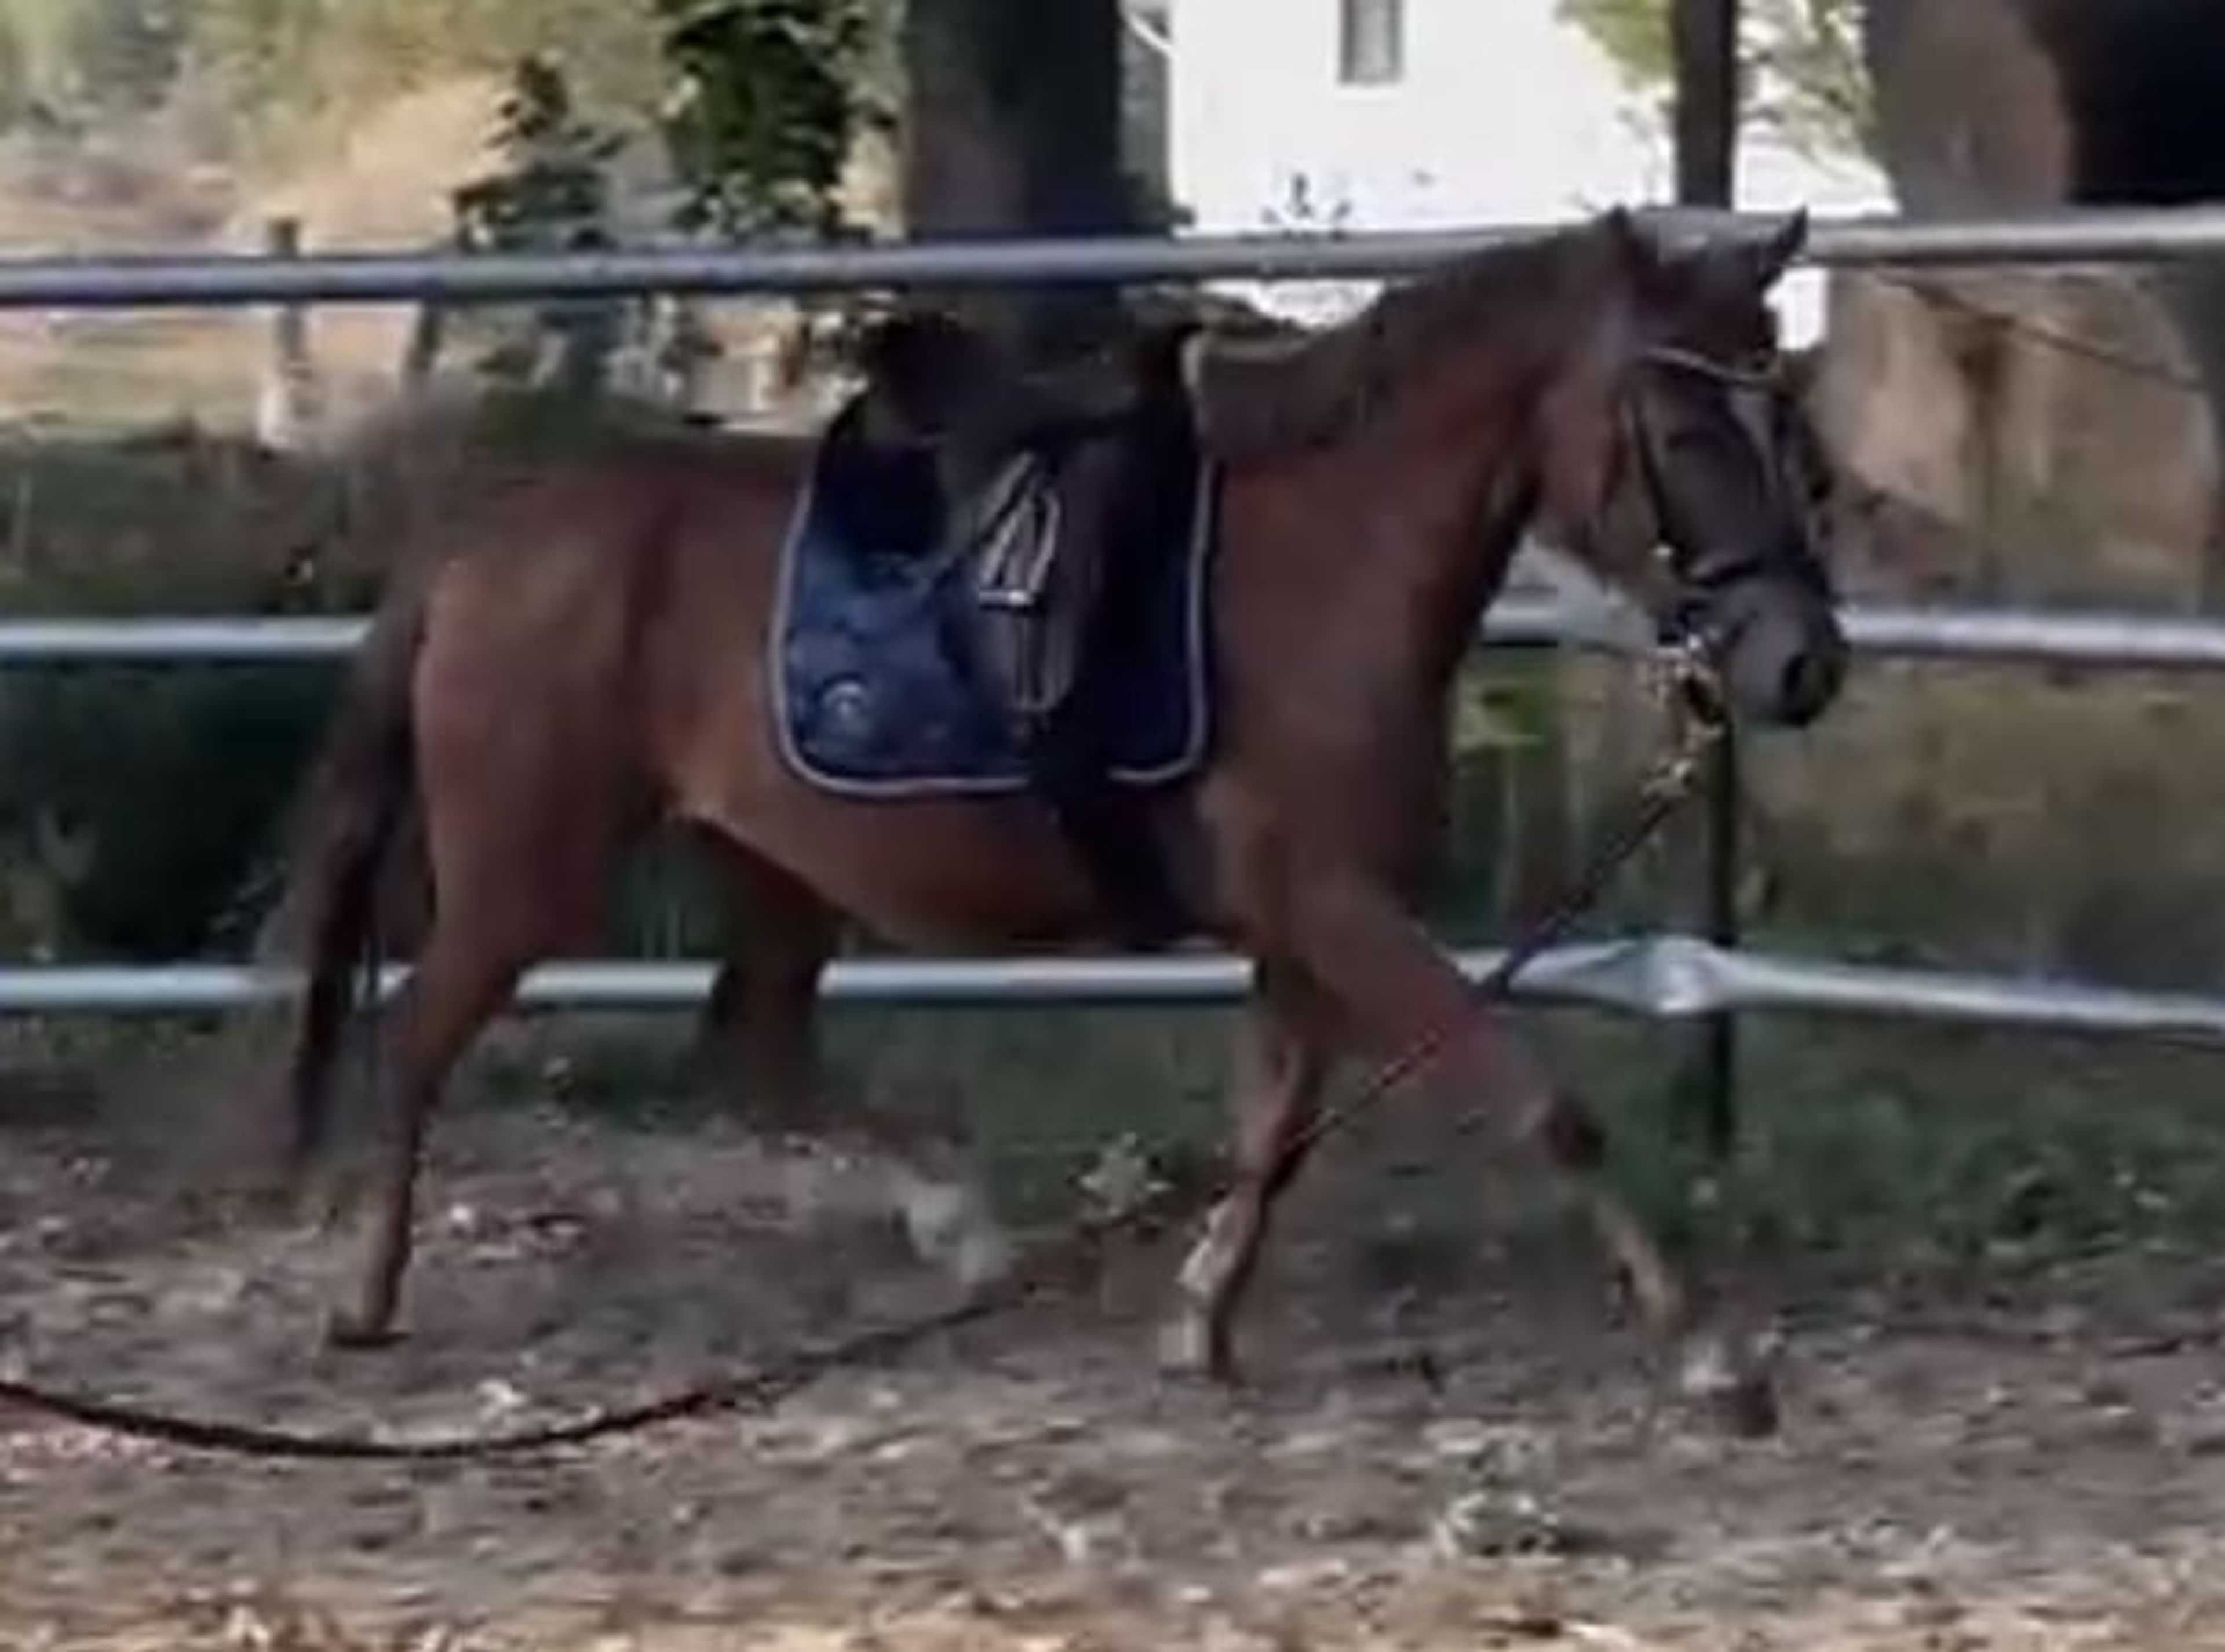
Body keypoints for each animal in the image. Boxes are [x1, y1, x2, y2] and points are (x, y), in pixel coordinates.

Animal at [265, 203, 1846, 1426]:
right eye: (1686, 424)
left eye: (1789, 416)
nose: (1802, 664)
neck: (1317, 564)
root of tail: (489, 534)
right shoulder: (1339, 905)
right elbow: (1533, 1100)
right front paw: (1714, 1358)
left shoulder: (1297, 922)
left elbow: (1277, 1122)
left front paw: (1199, 1319)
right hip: (527, 870)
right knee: (419, 1033)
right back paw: (362, 1295)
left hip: (769, 863)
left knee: (750, 1040)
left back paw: (955, 1229)